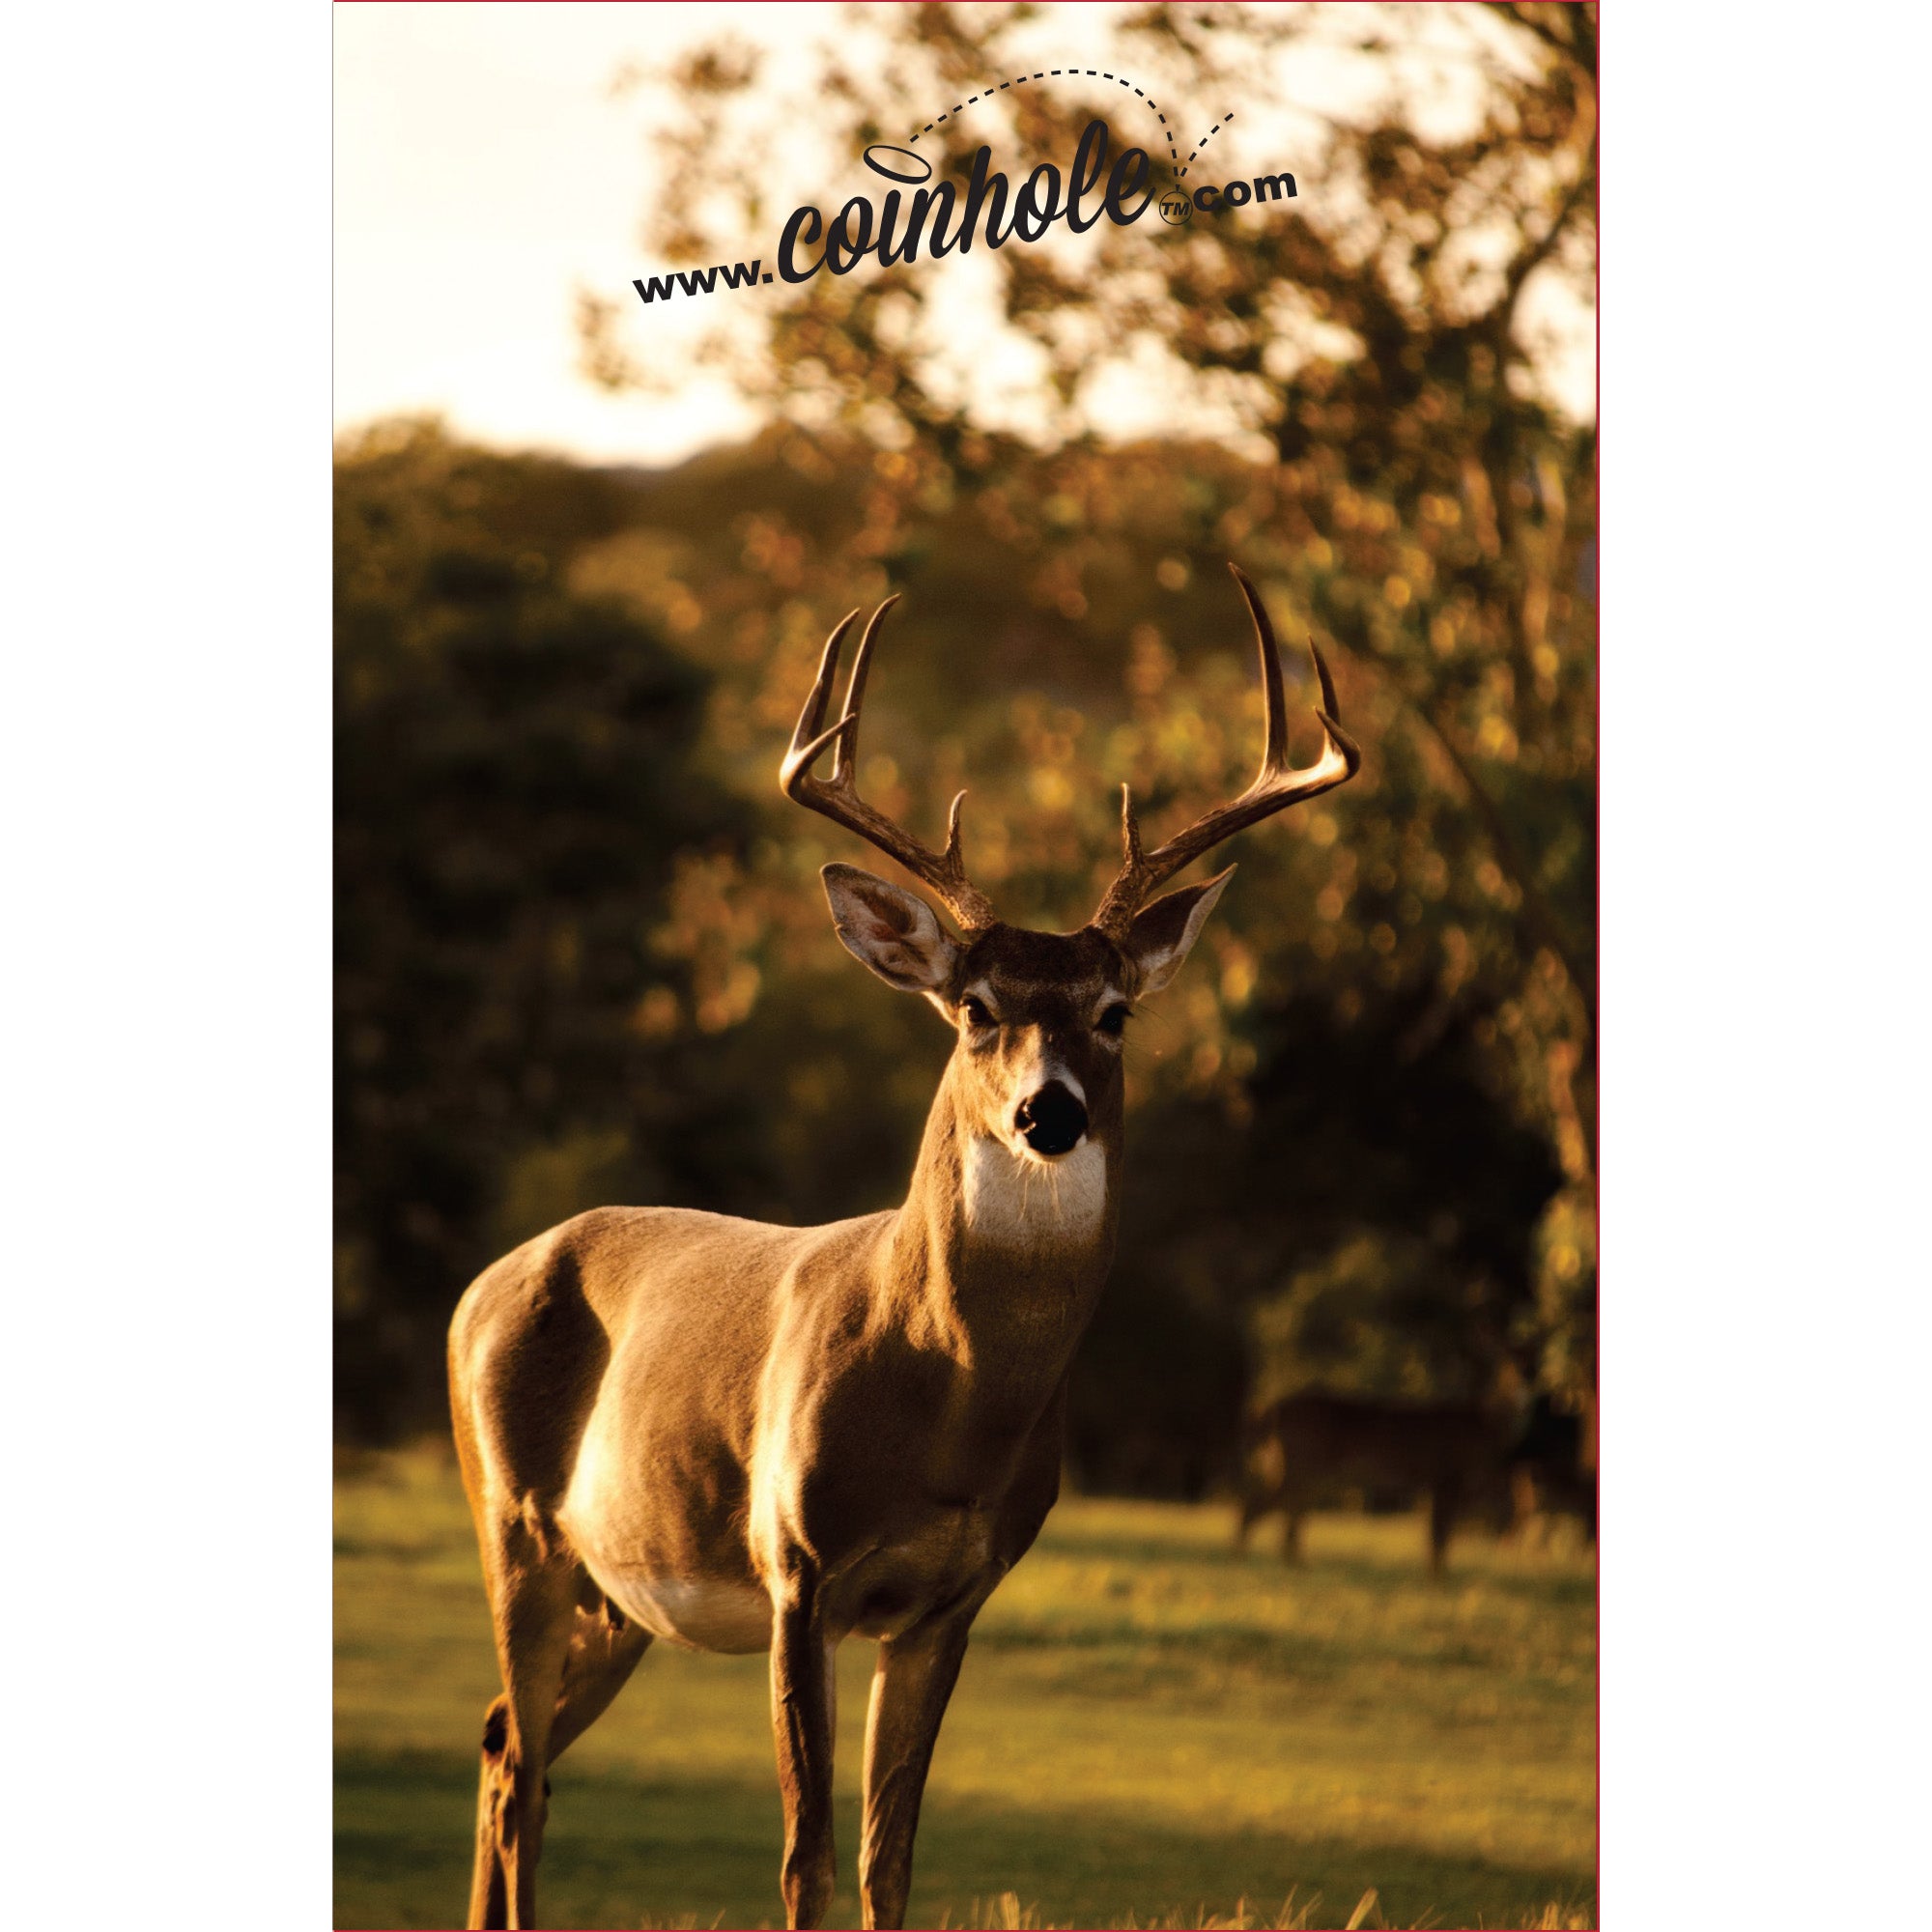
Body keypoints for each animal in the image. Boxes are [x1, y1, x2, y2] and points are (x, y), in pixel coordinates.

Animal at [446, 563, 1360, 1930]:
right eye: (973, 1006)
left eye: (1114, 1011)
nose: (1048, 1111)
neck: (946, 1402)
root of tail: (480, 1285)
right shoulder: (795, 1566)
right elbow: (805, 1858)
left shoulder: (949, 1598)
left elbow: (890, 1859)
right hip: (513, 1520)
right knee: (518, 1766)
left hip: (618, 1588)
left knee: (509, 1741)